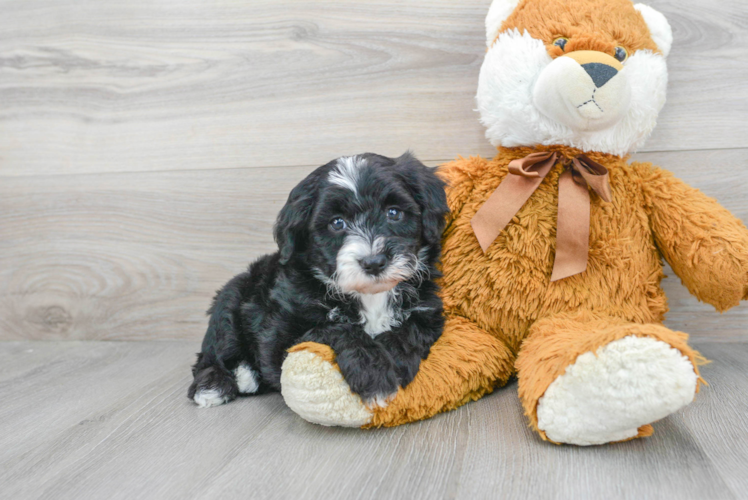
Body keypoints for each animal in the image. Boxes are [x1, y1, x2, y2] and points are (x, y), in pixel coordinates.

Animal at [191, 153, 450, 410]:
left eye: (394, 213)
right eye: (337, 223)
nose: (374, 262)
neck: (369, 295)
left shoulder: (428, 312)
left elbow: (410, 331)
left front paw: (393, 361)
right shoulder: (279, 339)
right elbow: (335, 329)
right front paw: (374, 375)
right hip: (231, 299)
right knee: (211, 354)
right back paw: (215, 385)